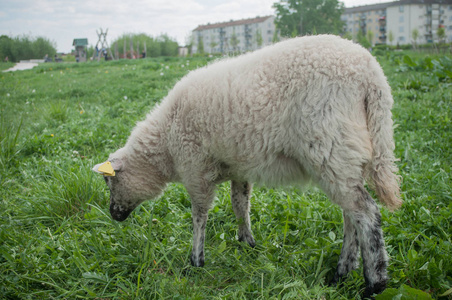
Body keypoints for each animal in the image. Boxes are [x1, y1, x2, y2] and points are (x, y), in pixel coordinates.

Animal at [92, 35, 402, 298]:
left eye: (109, 181)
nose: (113, 215)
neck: (165, 143)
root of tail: (372, 76)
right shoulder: (237, 168)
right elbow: (240, 204)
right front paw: (247, 241)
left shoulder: (195, 170)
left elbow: (199, 216)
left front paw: (195, 260)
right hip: (347, 155)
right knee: (351, 215)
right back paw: (342, 272)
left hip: (331, 145)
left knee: (366, 214)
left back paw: (374, 283)